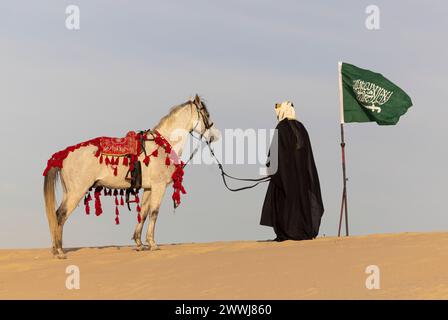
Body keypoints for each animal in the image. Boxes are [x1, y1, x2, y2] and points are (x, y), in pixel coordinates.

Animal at [43, 94, 219, 258]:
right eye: (207, 114)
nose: (214, 136)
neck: (162, 146)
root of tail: (63, 155)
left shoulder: (149, 188)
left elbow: (144, 213)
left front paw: (139, 242)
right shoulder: (159, 186)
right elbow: (154, 212)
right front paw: (153, 244)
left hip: (69, 191)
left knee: (57, 215)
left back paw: (56, 249)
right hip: (77, 192)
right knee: (61, 215)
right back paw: (60, 251)